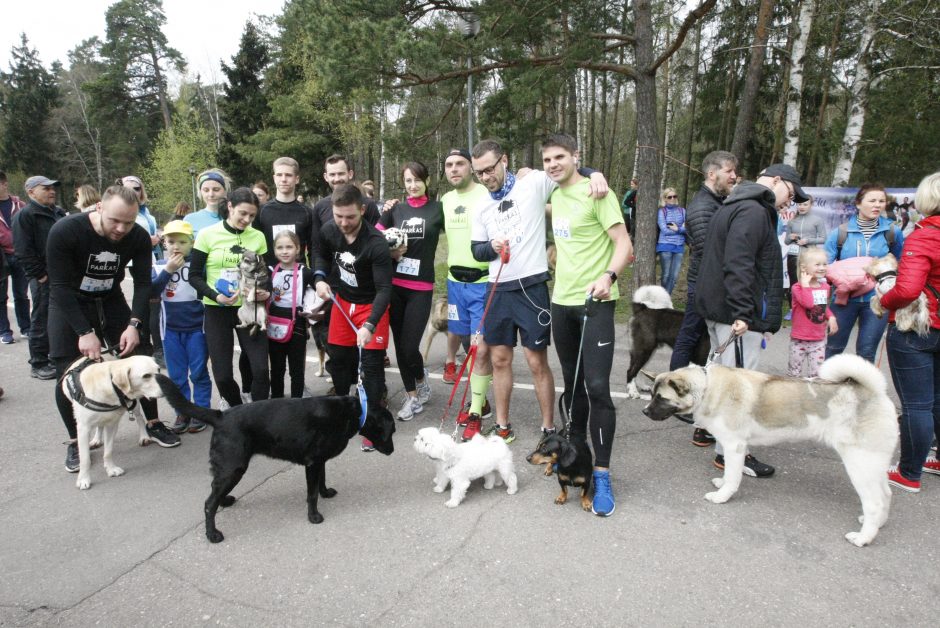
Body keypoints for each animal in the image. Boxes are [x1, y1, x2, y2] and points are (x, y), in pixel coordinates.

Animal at [61, 354, 162, 490]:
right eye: (146, 376)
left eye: (159, 370)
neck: (111, 386)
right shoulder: (83, 428)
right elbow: (85, 458)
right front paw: (83, 479)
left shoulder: (111, 424)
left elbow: (108, 451)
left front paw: (111, 469)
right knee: (99, 425)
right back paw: (96, 439)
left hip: (133, 404)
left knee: (139, 418)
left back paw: (144, 437)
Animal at [157, 376, 396, 544]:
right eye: (391, 431)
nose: (393, 451)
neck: (354, 413)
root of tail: (220, 415)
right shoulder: (313, 462)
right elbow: (311, 494)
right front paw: (314, 516)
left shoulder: (320, 461)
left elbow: (321, 481)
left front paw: (326, 492)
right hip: (234, 467)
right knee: (208, 503)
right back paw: (213, 534)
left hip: (227, 468)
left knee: (214, 492)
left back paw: (225, 500)